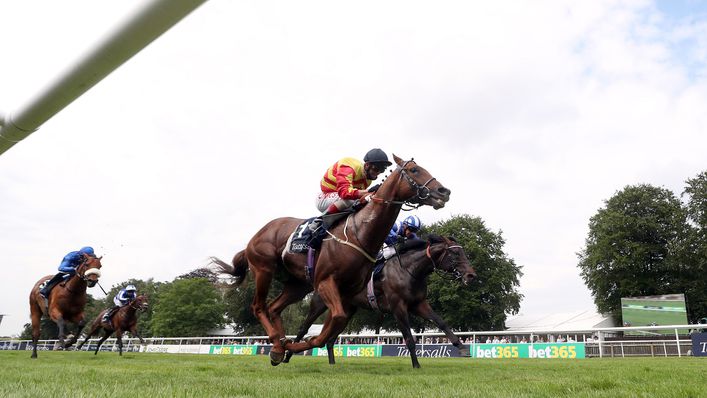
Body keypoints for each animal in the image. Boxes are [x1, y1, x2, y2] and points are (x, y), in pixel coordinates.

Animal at [213, 154, 450, 366]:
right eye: (414, 170)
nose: (444, 191)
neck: (360, 232)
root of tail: (256, 236)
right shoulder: (327, 282)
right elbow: (335, 321)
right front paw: (297, 346)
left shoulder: (346, 292)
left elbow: (335, 323)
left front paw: (296, 346)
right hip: (264, 269)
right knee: (259, 307)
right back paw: (278, 344)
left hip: (299, 285)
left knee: (274, 308)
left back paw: (279, 346)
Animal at [284, 235, 478, 368]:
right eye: (455, 252)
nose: (471, 275)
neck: (410, 270)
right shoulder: (398, 306)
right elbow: (408, 337)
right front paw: (416, 365)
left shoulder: (419, 303)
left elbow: (441, 322)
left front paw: (462, 347)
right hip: (319, 304)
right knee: (303, 328)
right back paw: (287, 355)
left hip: (347, 310)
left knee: (331, 338)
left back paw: (332, 363)